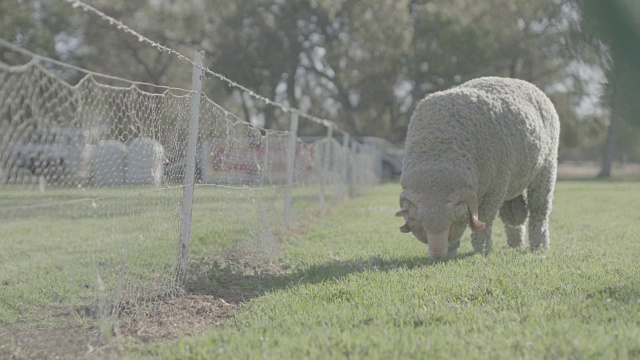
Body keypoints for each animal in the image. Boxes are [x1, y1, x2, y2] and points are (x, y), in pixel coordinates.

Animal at [396, 76, 560, 258]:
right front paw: (452, 251)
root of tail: (523, 81)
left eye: (453, 223)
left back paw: (539, 246)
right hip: (514, 179)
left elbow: (484, 219)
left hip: (545, 170)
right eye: (422, 226)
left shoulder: (495, 189)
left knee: (539, 211)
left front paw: (482, 250)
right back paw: (516, 244)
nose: (437, 254)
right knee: (514, 215)